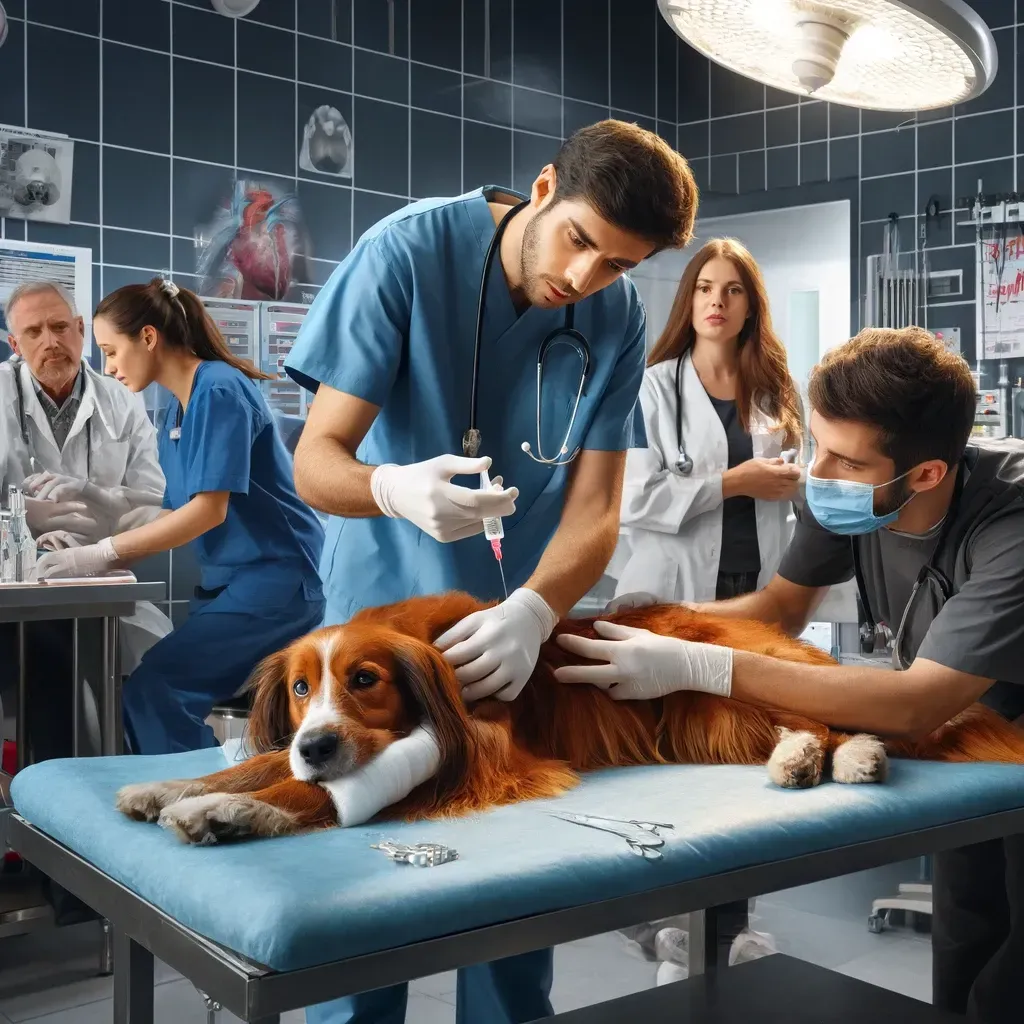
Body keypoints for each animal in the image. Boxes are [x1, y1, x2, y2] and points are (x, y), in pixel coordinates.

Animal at [116, 598, 1024, 843]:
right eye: (302, 688)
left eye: (365, 680)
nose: (316, 741)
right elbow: (261, 763)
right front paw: (175, 787)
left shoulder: (478, 753)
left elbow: (316, 791)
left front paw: (235, 811)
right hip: (715, 722)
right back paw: (810, 759)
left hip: (729, 687)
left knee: (843, 721)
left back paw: (843, 757)